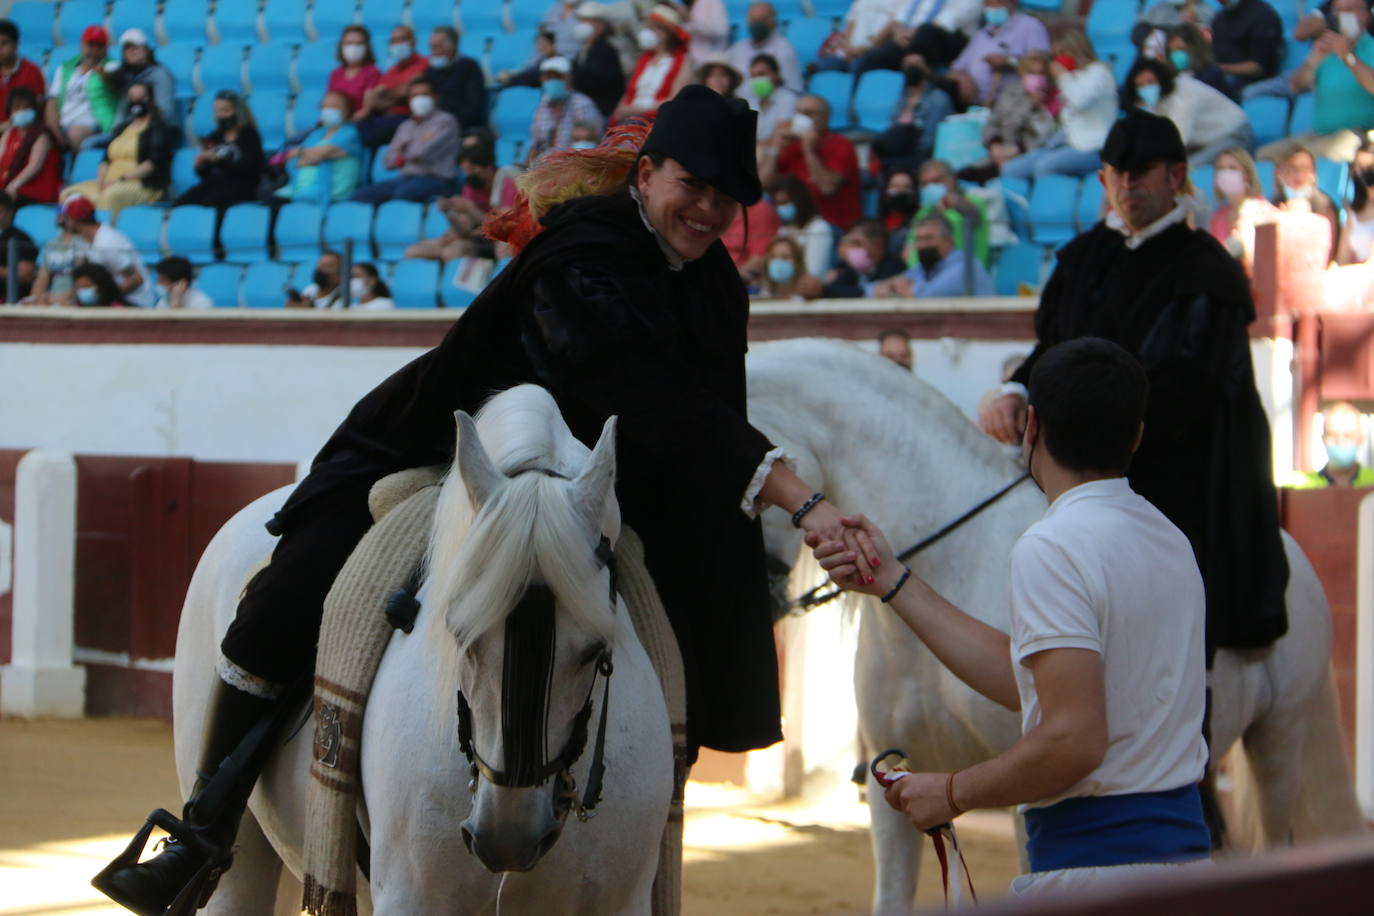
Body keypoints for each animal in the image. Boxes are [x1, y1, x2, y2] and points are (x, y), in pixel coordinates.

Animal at [169, 387, 673, 916]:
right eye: (459, 635)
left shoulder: (622, 901)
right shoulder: (410, 896)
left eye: (596, 650)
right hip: (240, 863)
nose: (505, 840)